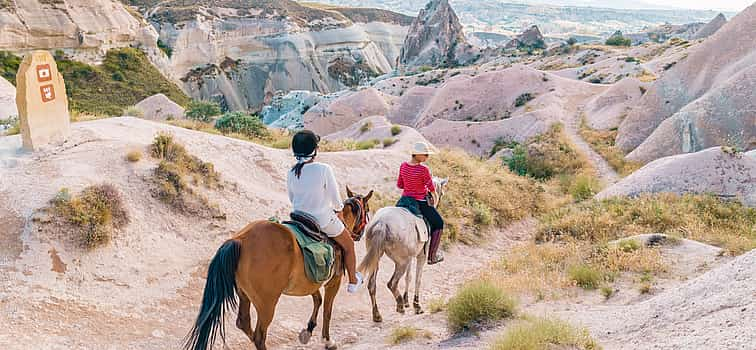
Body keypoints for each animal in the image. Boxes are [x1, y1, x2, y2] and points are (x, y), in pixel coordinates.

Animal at [183, 189, 372, 350]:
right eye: (368, 210)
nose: (359, 234)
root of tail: (240, 239)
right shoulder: (334, 281)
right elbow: (327, 310)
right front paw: (327, 341)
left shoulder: (311, 281)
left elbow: (317, 300)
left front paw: (309, 329)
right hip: (267, 303)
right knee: (259, 336)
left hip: (244, 294)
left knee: (244, 323)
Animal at [358, 178, 446, 322]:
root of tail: (382, 223)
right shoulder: (420, 256)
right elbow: (417, 278)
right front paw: (416, 305)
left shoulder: (410, 257)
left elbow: (408, 277)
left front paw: (407, 300)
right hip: (401, 262)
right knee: (392, 283)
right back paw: (399, 305)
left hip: (377, 258)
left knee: (372, 285)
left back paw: (377, 315)